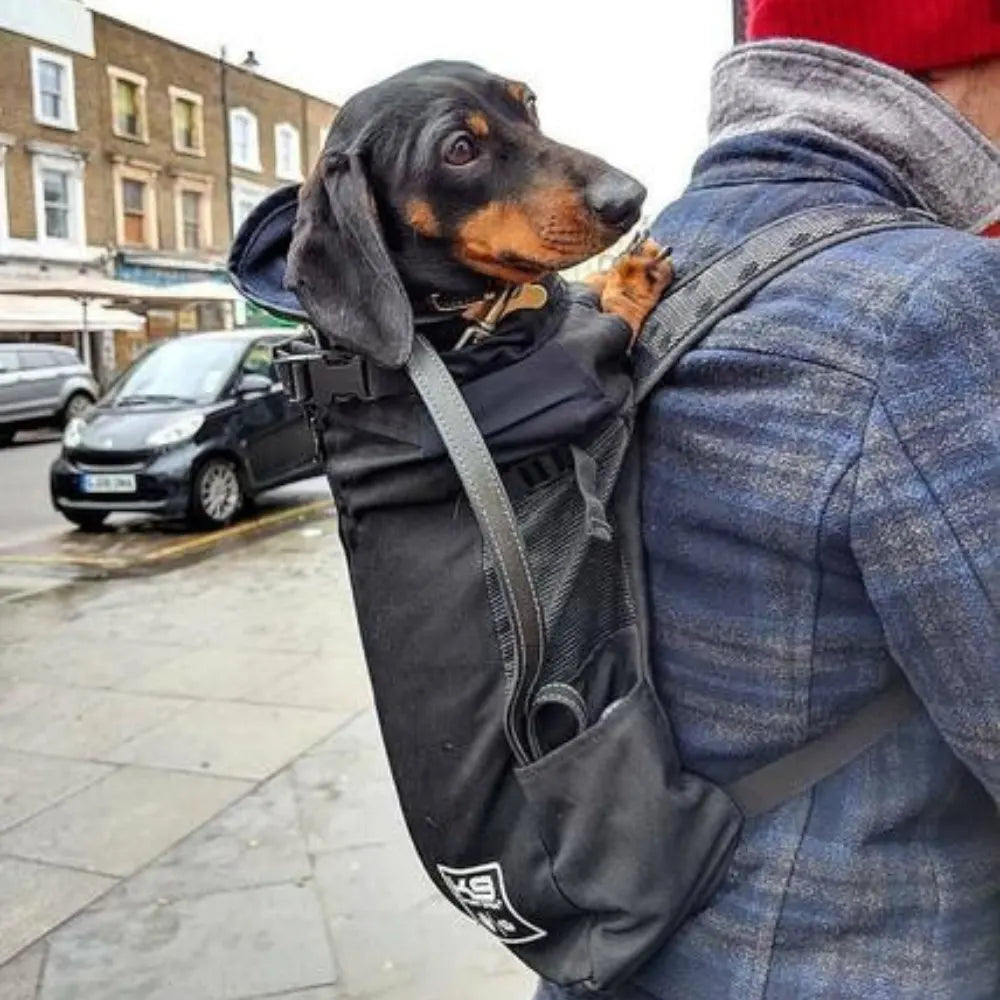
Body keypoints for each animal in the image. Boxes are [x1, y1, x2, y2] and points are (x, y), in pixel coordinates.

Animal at [282, 61, 672, 368]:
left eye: (529, 102)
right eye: (460, 149)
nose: (631, 199)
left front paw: (618, 268)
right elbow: (621, 319)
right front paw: (634, 278)